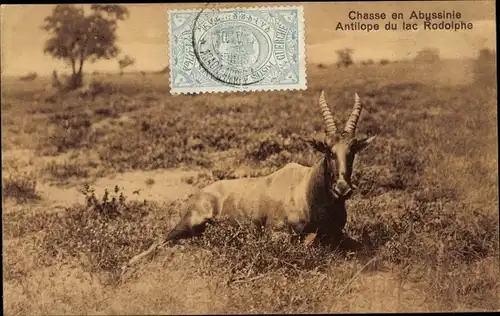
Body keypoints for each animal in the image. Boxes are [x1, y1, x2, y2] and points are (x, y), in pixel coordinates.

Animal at [123, 90, 376, 272]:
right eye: (328, 150)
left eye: (352, 150)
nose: (343, 188)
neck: (305, 190)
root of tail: (203, 192)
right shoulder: (278, 235)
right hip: (190, 222)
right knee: (161, 240)